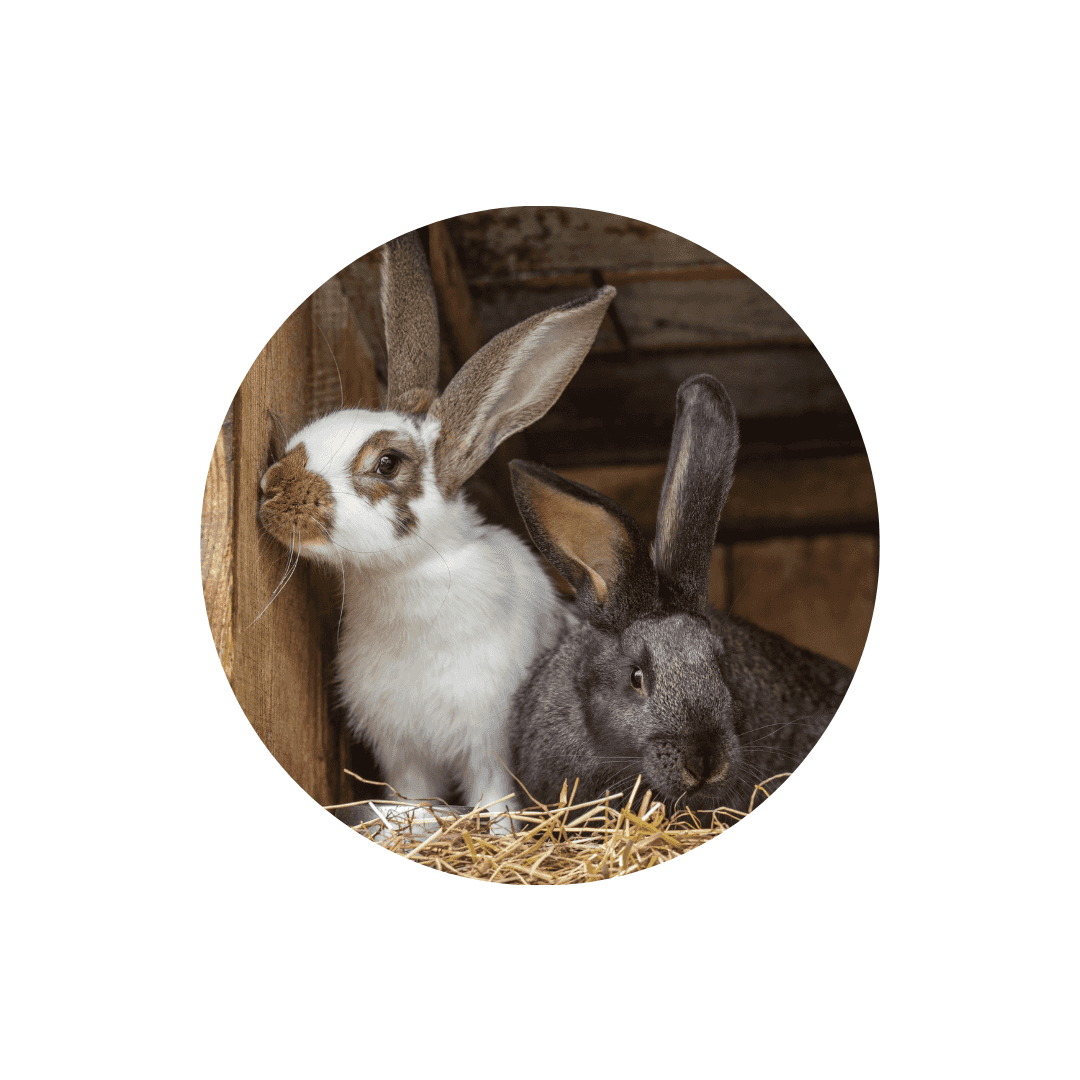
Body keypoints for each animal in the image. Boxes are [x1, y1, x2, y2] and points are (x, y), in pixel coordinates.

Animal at [257, 230, 615, 818]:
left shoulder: (488, 743)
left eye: (387, 464)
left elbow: (494, 802)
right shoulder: (400, 748)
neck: (408, 575)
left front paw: (494, 828)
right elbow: (410, 799)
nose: (270, 489)